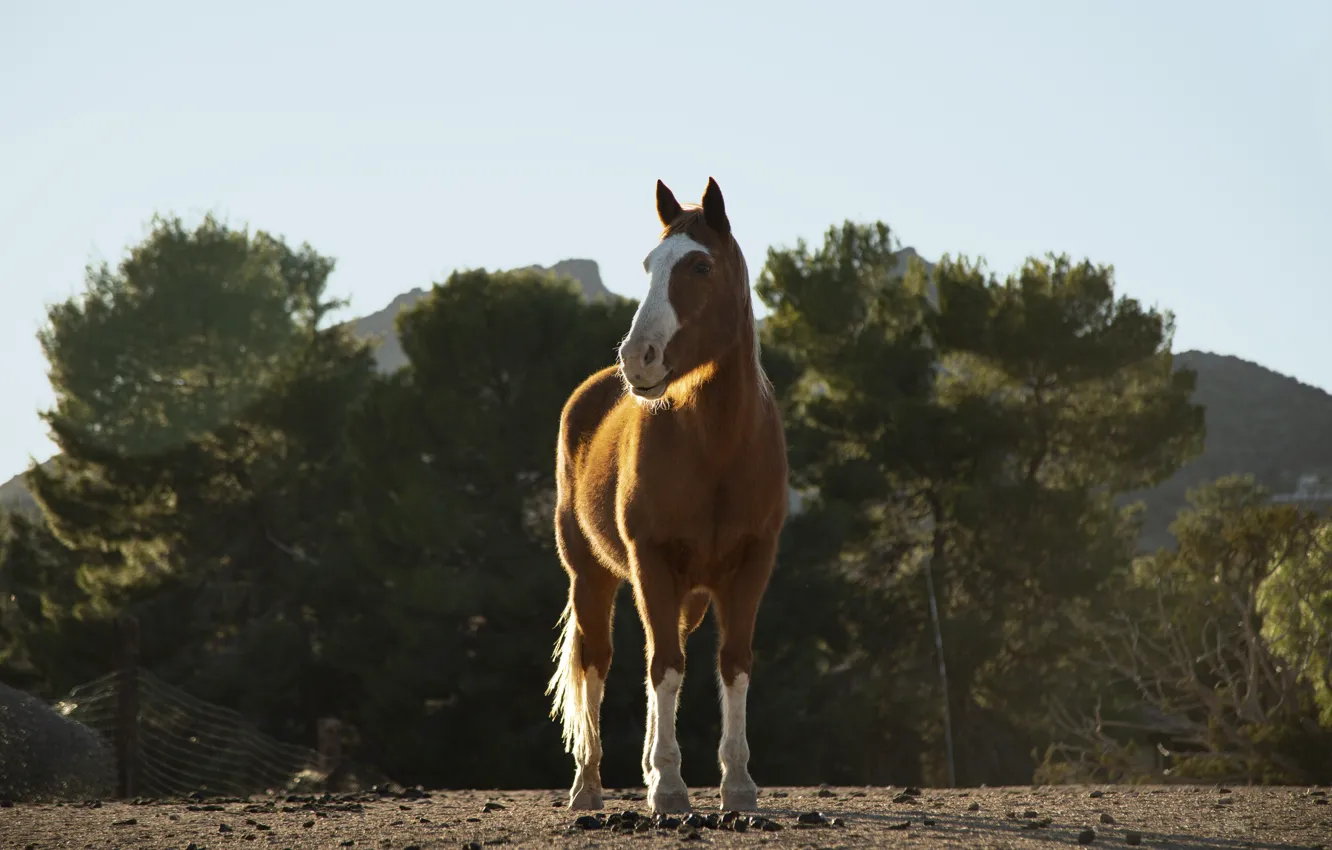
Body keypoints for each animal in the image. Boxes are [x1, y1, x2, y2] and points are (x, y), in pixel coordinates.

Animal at [546, 177, 788, 814]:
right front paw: (671, 787)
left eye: (700, 265)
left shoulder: (751, 567)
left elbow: (731, 666)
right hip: (592, 576)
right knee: (598, 662)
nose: (637, 358)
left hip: (688, 594)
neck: (719, 446)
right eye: (649, 264)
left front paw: (737, 784)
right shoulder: (651, 562)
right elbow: (663, 670)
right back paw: (588, 785)